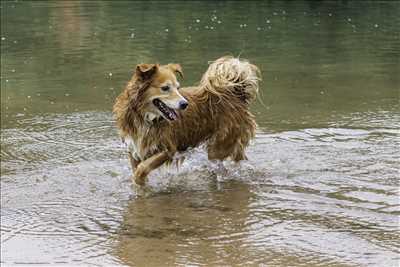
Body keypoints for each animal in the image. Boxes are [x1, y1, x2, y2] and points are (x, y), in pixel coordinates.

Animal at [114, 56, 260, 186]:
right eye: (165, 88)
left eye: (177, 88)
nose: (185, 104)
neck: (145, 117)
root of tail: (236, 95)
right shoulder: (134, 149)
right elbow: (138, 168)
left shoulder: (168, 149)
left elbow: (142, 168)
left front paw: (138, 179)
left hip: (220, 146)